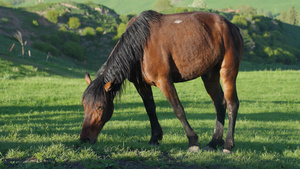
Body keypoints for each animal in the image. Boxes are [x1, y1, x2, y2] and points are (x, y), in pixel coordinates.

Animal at [79, 10, 244, 153]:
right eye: (84, 105)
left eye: (100, 107)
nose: (84, 139)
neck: (140, 44)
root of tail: (231, 26)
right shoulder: (141, 85)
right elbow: (150, 109)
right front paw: (154, 138)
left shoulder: (164, 81)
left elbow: (178, 110)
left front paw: (193, 142)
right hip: (210, 75)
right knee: (219, 103)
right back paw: (214, 142)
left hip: (227, 71)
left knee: (232, 104)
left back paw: (228, 145)